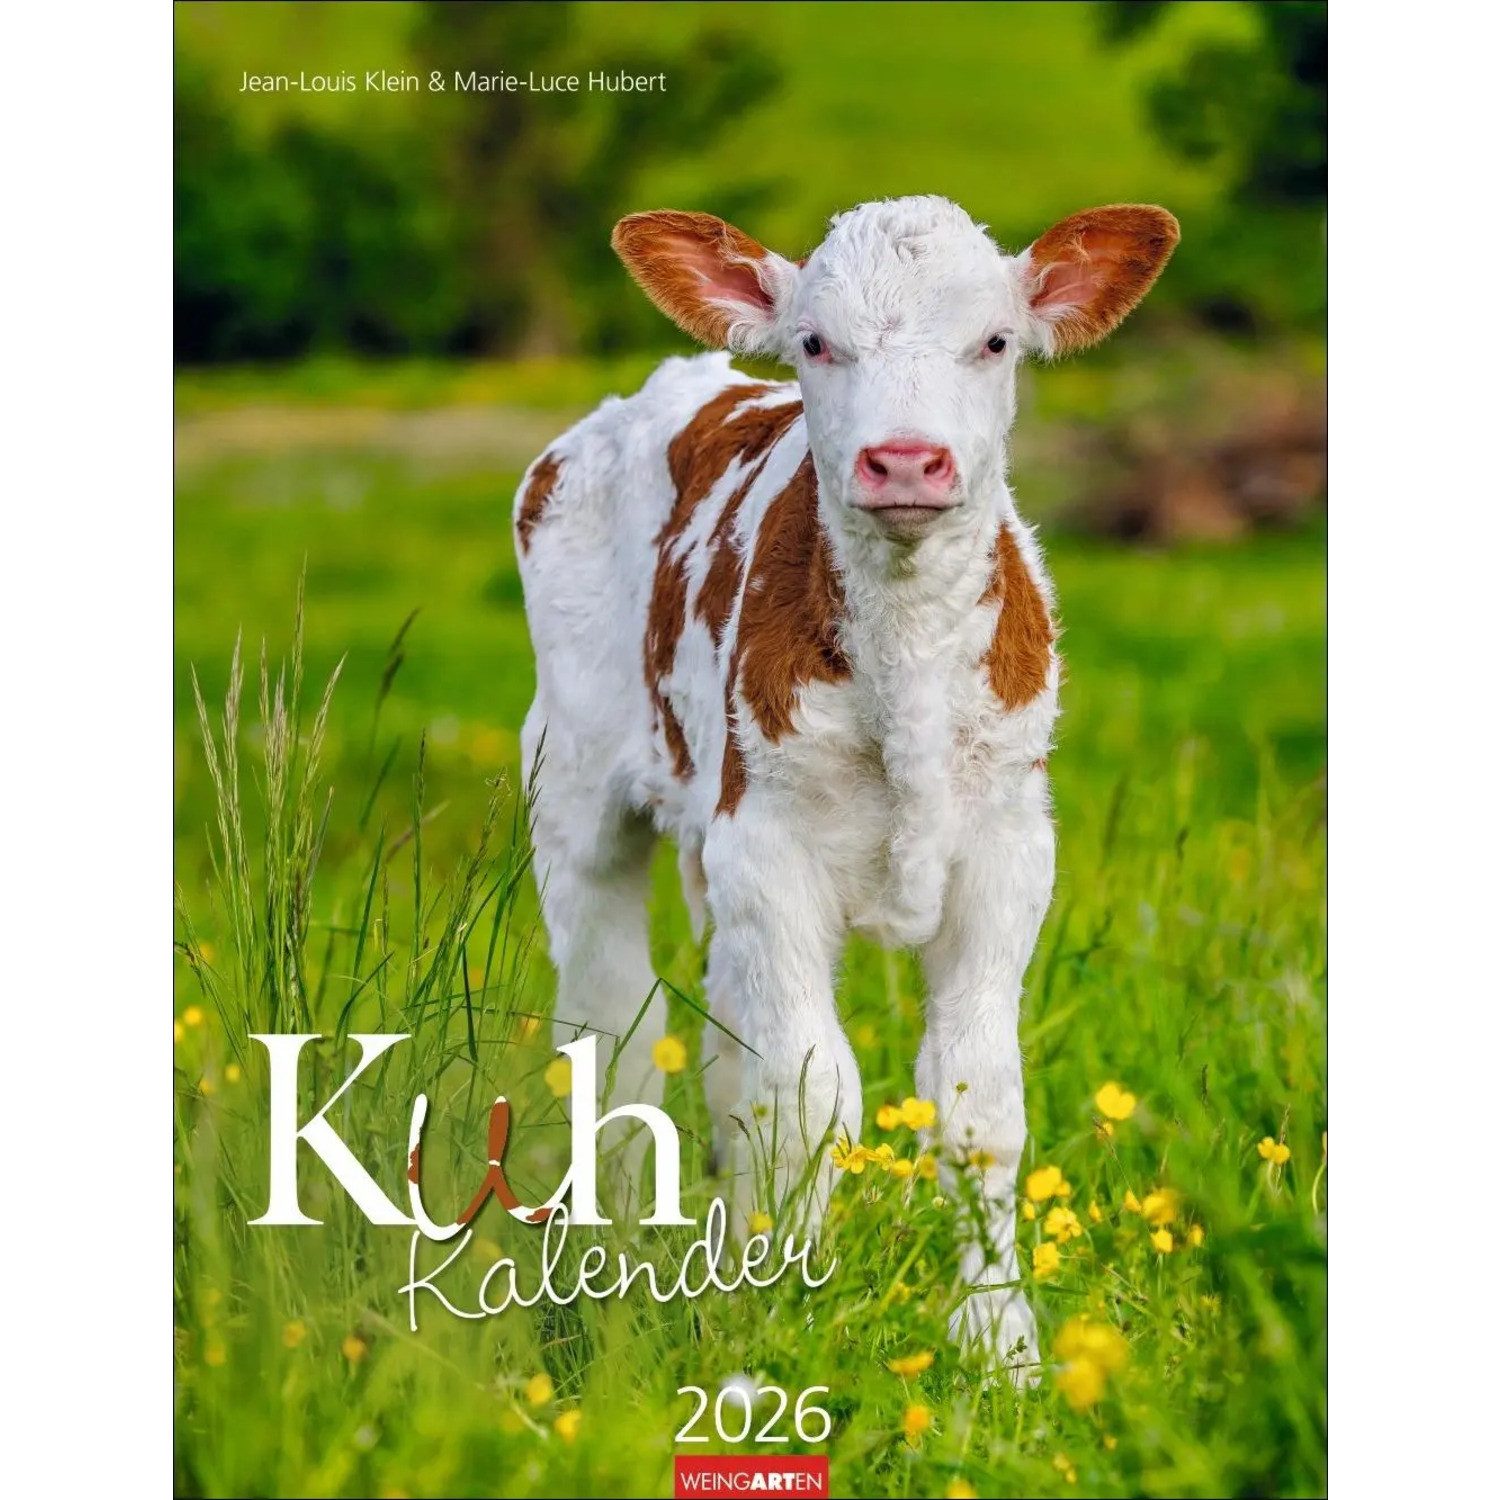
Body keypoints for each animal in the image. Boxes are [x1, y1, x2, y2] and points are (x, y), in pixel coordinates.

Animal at [512, 195, 1178, 1377]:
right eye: (818, 343)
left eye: (994, 342)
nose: (904, 461)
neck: (906, 672)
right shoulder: (766, 846)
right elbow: (811, 1094)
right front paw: (786, 1315)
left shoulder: (1008, 851)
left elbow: (976, 1103)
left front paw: (1001, 1344)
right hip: (574, 786)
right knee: (615, 1039)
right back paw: (615, 1266)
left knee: (723, 1050)